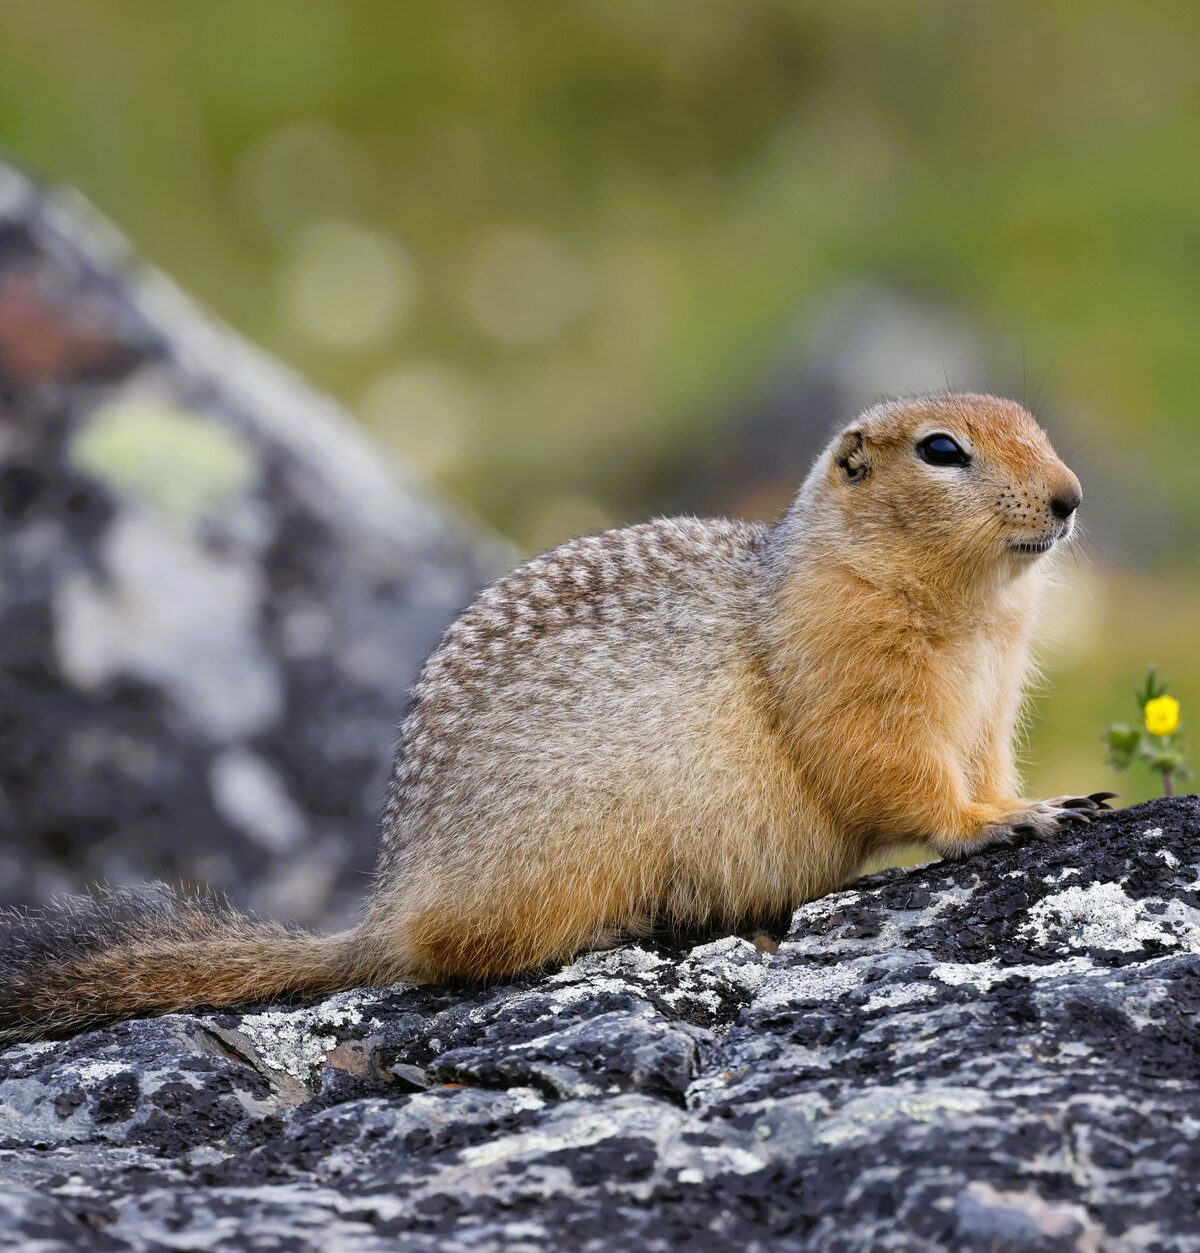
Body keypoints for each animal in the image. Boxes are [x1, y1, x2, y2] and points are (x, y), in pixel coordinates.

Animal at [0, 392, 1114, 1043]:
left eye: (1038, 424)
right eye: (942, 449)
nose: (1071, 496)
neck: (969, 610)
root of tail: (392, 899)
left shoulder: (991, 702)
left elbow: (985, 762)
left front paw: (1044, 797)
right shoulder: (853, 670)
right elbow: (894, 771)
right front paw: (998, 822)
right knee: (461, 955)